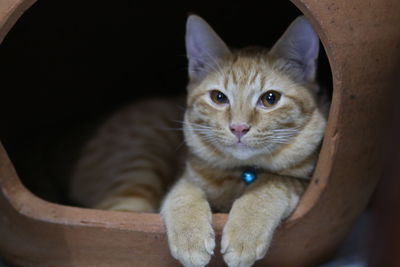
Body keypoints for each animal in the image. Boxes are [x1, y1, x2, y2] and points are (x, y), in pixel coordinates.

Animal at [70, 15, 328, 267]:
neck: (241, 172)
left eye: (270, 98)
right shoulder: (187, 174)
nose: (239, 127)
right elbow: (182, 193)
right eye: (219, 97)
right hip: (142, 163)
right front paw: (190, 237)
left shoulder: (303, 181)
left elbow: (270, 185)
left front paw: (245, 233)